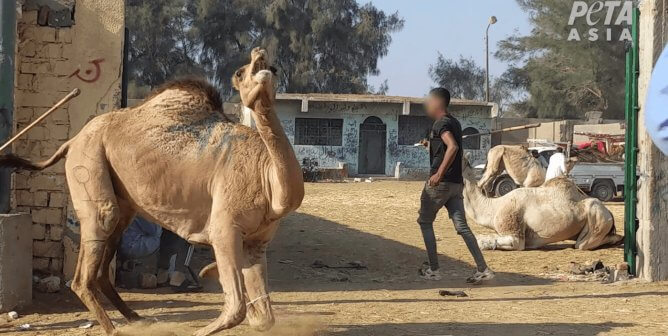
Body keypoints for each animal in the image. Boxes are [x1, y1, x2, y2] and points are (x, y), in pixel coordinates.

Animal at [0, 48, 302, 336]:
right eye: (240, 73)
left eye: (274, 68)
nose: (260, 53)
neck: (266, 175)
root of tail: (71, 141)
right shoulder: (224, 228)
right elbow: (235, 309)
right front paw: (204, 316)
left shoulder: (257, 241)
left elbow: (265, 317)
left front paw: (218, 281)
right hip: (88, 160)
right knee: (89, 254)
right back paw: (113, 328)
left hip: (122, 201)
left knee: (105, 256)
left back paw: (137, 318)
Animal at [462, 155, 624, 249]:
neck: (494, 207)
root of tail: (609, 213)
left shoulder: (515, 233)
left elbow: (483, 241)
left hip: (597, 217)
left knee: (582, 244)